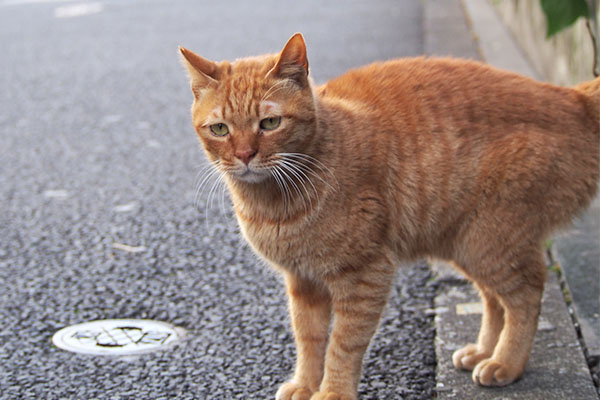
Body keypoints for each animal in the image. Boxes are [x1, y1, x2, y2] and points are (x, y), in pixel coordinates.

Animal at [179, 32, 600, 398]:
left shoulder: (365, 274)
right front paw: (305, 384)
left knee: (526, 295)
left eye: (270, 123)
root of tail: (573, 98)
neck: (275, 203)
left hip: (490, 242)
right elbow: (310, 340)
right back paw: (484, 351)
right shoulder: (304, 283)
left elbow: (342, 345)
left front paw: (332, 392)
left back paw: (507, 364)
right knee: (494, 299)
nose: (244, 155)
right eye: (220, 129)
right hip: (466, 244)